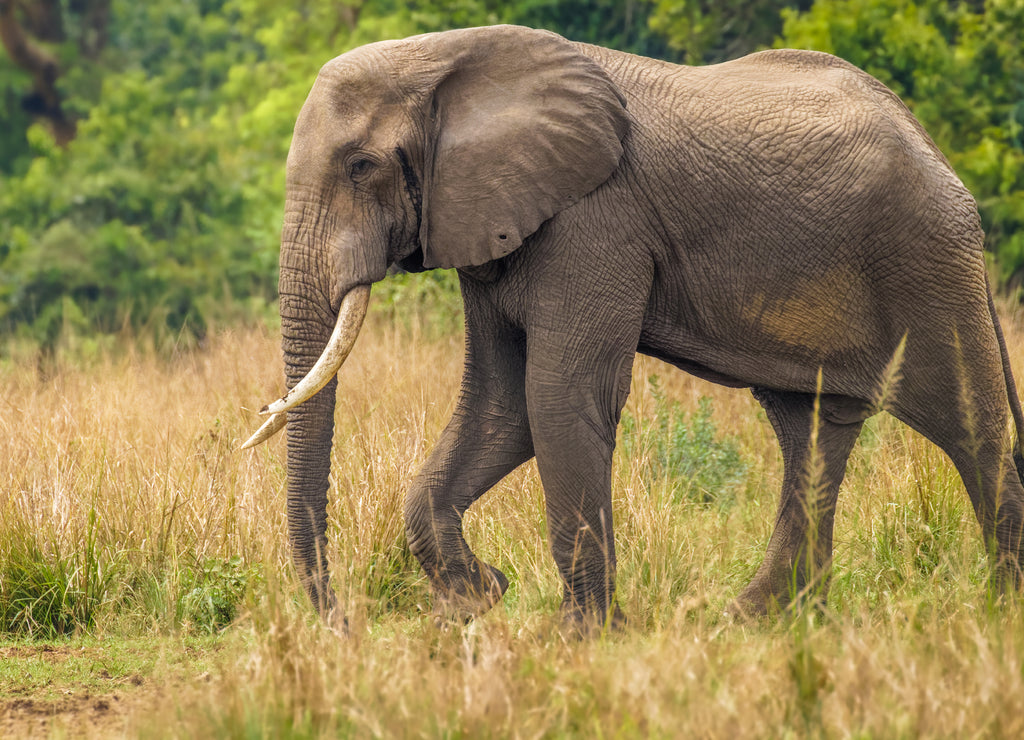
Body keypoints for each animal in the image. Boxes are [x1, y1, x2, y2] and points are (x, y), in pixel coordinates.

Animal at [245, 21, 1024, 626]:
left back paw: (997, 612)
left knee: (973, 428)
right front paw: (478, 601)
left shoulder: (595, 221)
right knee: (809, 430)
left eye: (361, 165)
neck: (446, 56)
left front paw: (580, 638)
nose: (344, 624)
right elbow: (502, 410)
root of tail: (938, 154)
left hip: (926, 262)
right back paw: (759, 621)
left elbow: (556, 398)